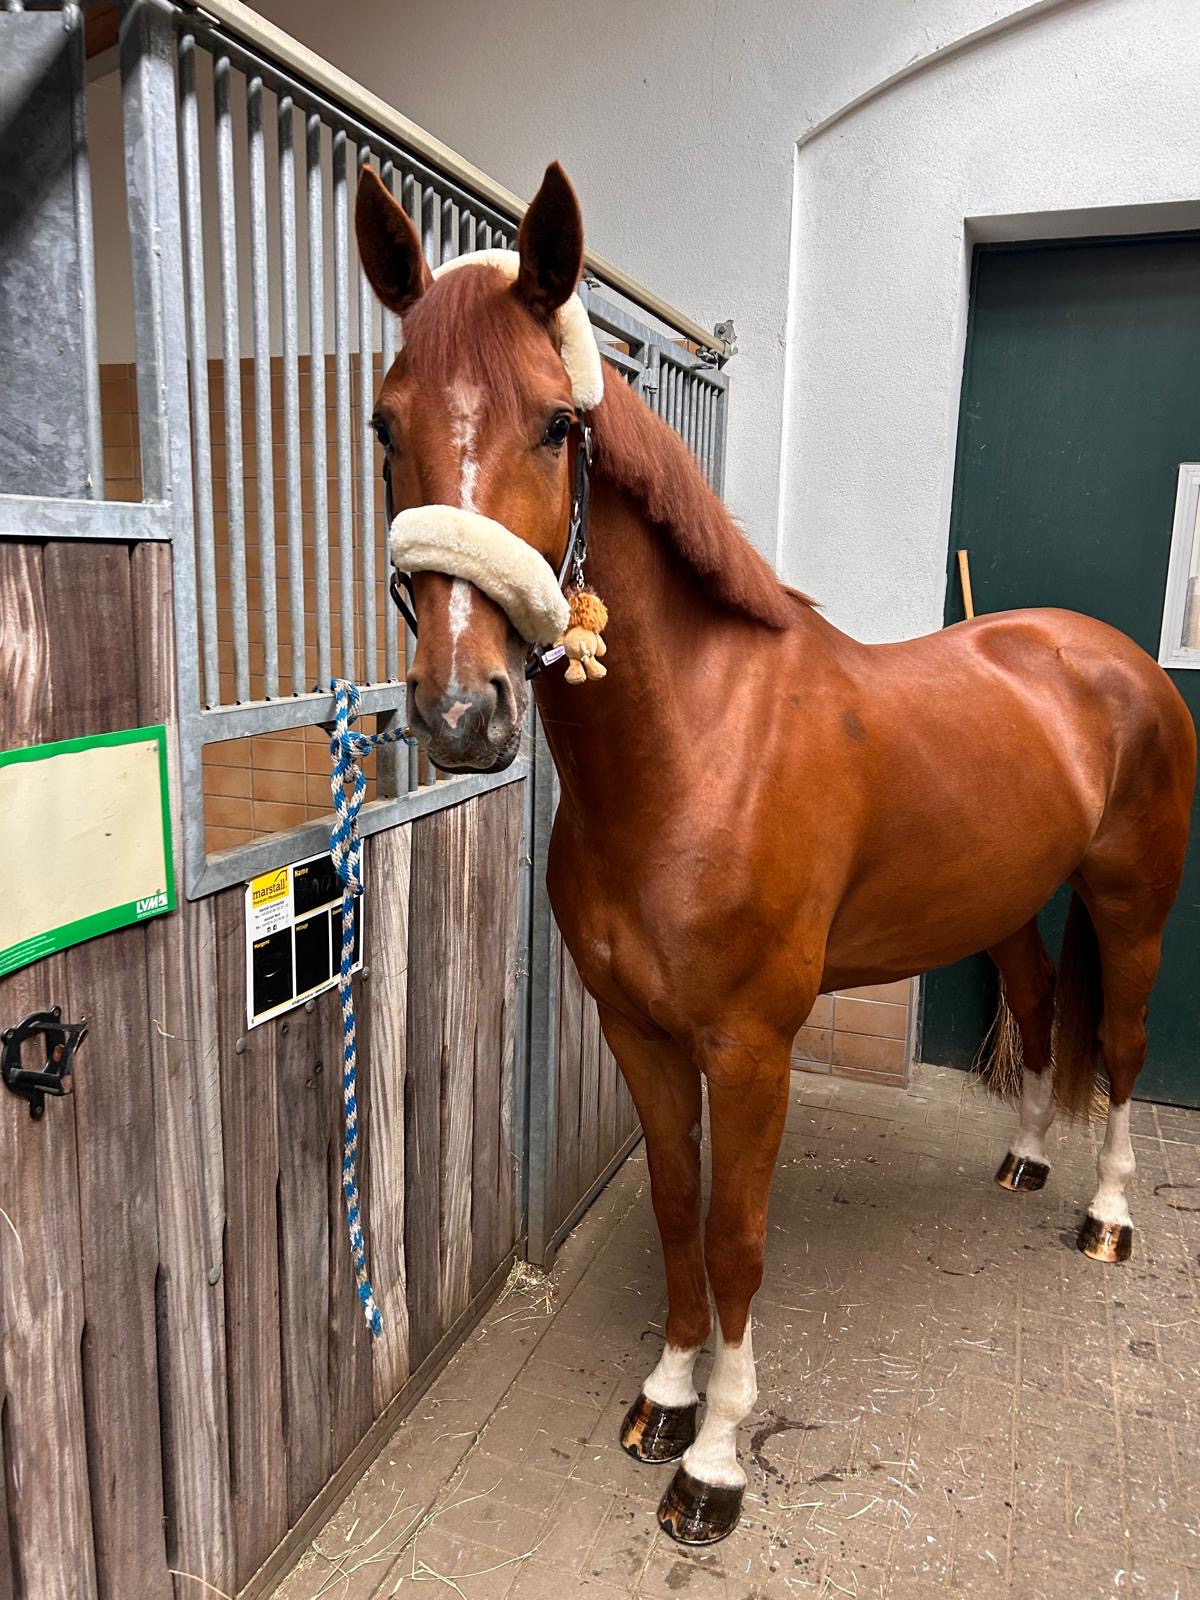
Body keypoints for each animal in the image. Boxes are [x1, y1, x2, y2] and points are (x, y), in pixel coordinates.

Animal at [355, 161, 1196, 1544]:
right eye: (385, 424)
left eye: (556, 424)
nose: (462, 714)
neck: (699, 751)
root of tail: (1108, 654)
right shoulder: (637, 1031)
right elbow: (673, 1206)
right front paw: (664, 1397)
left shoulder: (751, 1049)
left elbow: (738, 1232)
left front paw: (715, 1460)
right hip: (1010, 902)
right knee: (1031, 1008)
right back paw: (1023, 1159)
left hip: (1132, 904)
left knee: (1119, 1049)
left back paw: (1108, 1216)